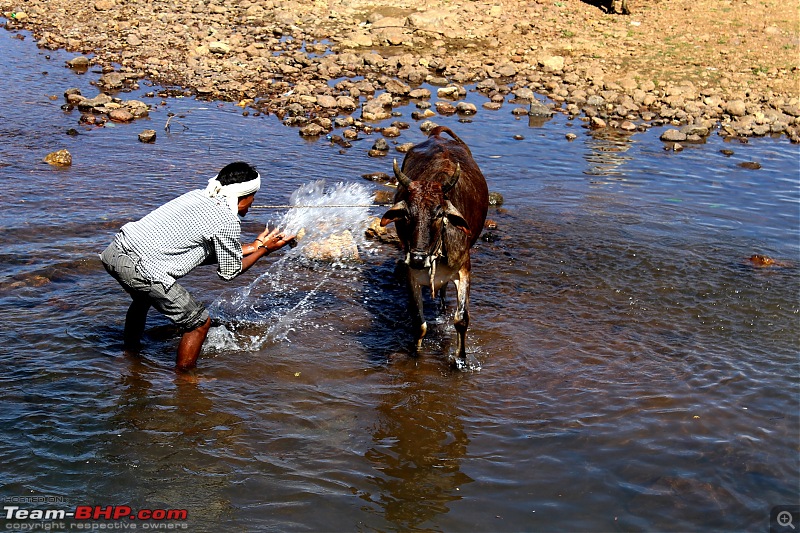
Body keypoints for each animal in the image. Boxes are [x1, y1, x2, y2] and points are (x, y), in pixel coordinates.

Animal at [380, 125, 490, 366]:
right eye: (406, 213)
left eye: (439, 214)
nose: (418, 258)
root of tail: (437, 135)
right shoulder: (411, 274)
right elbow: (418, 322)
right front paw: (416, 352)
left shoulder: (464, 268)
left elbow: (461, 319)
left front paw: (461, 360)